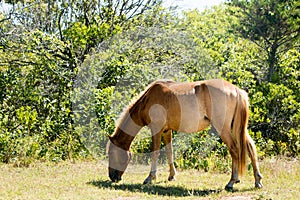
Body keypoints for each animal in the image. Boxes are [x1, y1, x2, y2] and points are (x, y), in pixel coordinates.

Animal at [107, 79, 262, 190]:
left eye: (111, 153)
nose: (112, 177)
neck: (149, 99)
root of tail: (237, 90)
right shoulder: (166, 131)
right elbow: (169, 152)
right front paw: (172, 176)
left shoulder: (156, 129)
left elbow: (155, 153)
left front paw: (150, 178)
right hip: (238, 128)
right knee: (250, 148)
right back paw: (257, 180)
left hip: (223, 129)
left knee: (235, 150)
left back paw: (231, 182)